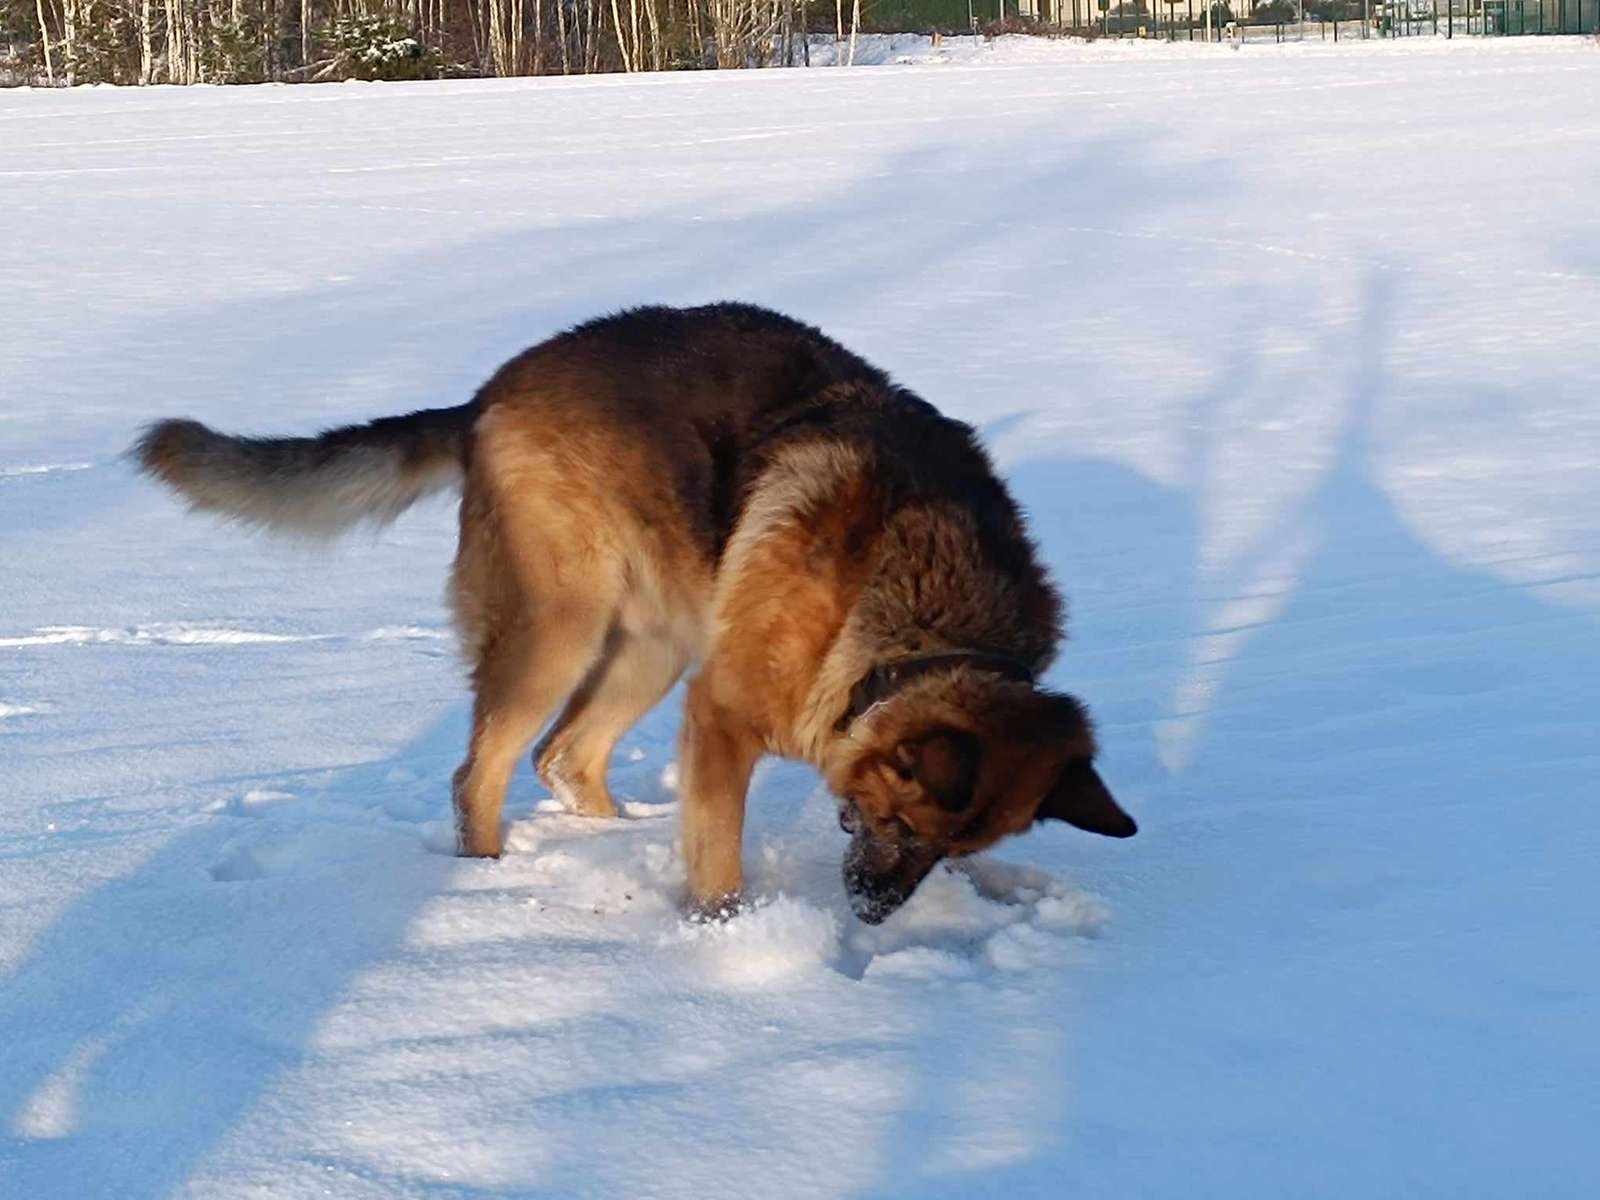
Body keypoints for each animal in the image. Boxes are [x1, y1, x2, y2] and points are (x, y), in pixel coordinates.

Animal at [137, 305, 1139, 928]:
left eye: (953, 846)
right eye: (899, 823)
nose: (870, 917)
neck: (923, 625)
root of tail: (489, 393)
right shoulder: (722, 714)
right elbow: (719, 865)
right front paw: (722, 937)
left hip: (651, 644)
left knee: (564, 756)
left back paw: (613, 840)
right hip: (562, 628)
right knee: (481, 774)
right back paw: (484, 885)